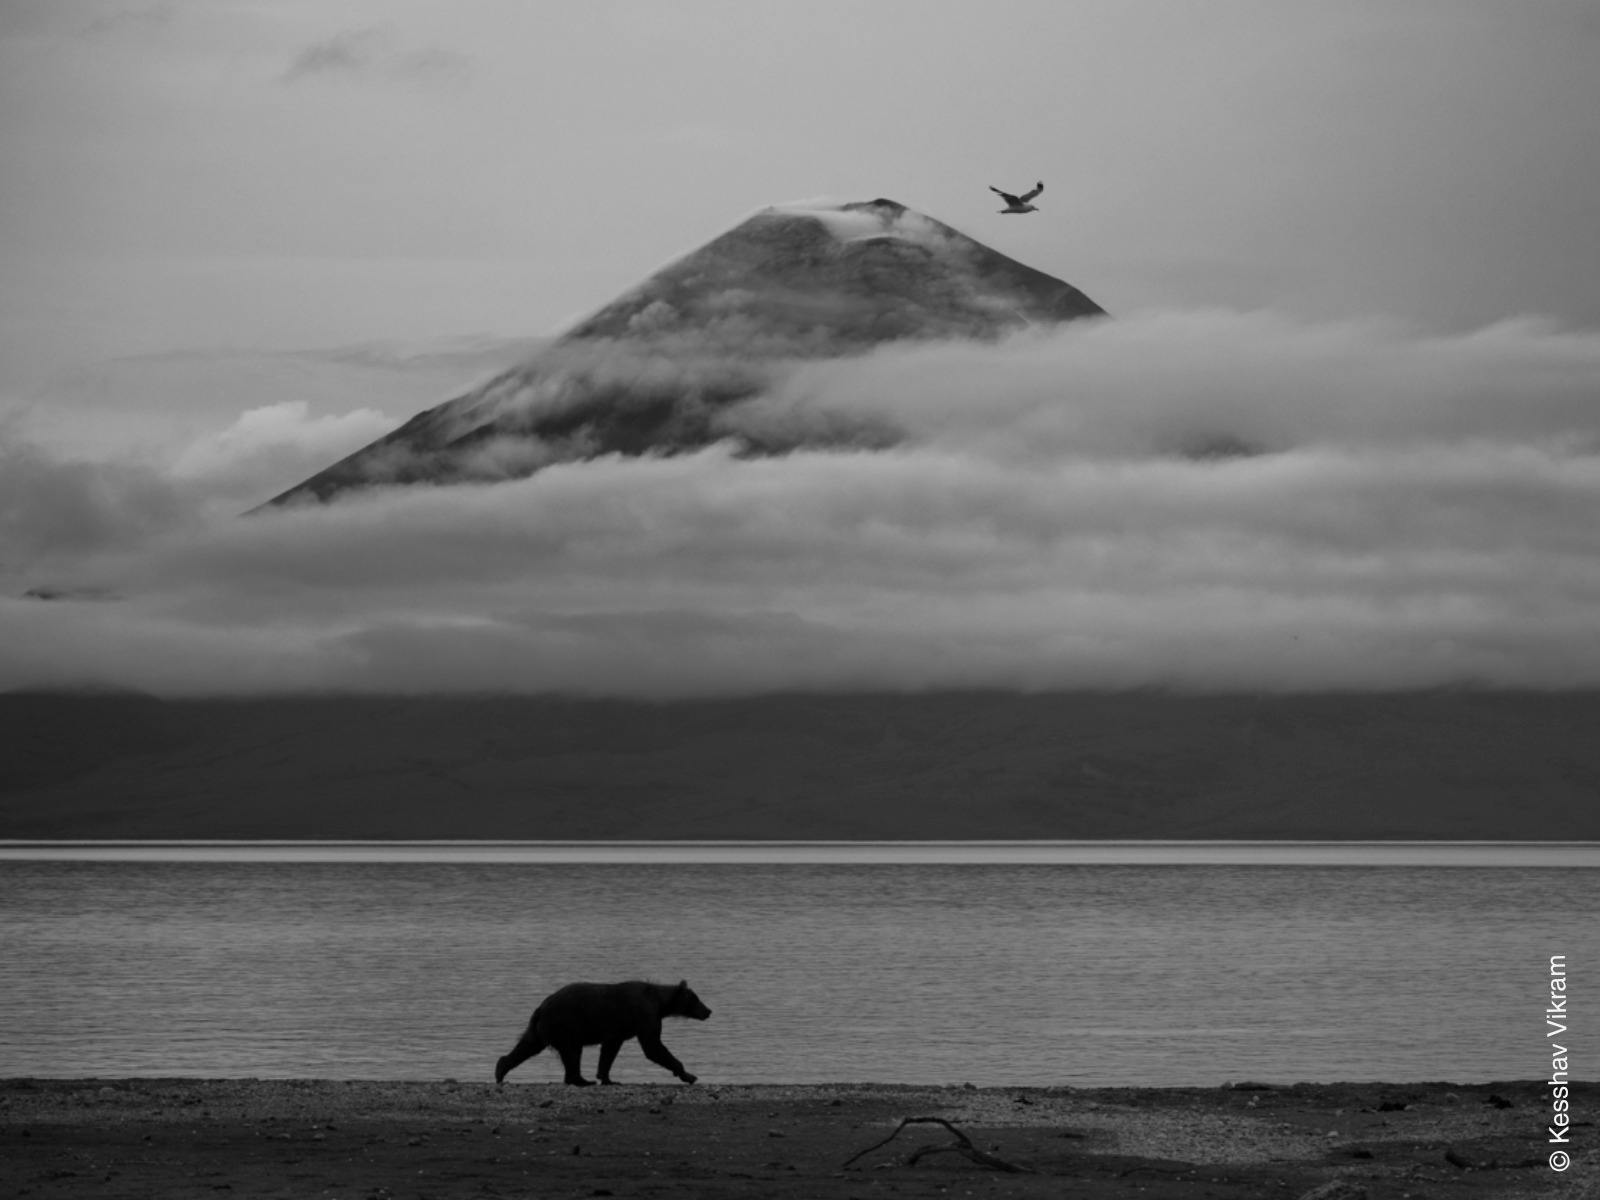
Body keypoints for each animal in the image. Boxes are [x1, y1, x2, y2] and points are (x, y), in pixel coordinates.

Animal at [494, 979, 712, 1086]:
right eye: (696, 999)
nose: (708, 1011)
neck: (660, 1003)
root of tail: (541, 1006)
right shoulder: (644, 1015)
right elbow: (653, 1046)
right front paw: (689, 1075)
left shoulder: (618, 1029)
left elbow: (609, 1050)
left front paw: (607, 1078)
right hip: (567, 1024)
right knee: (572, 1053)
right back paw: (581, 1080)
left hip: (544, 1027)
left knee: (529, 1044)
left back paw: (501, 1068)